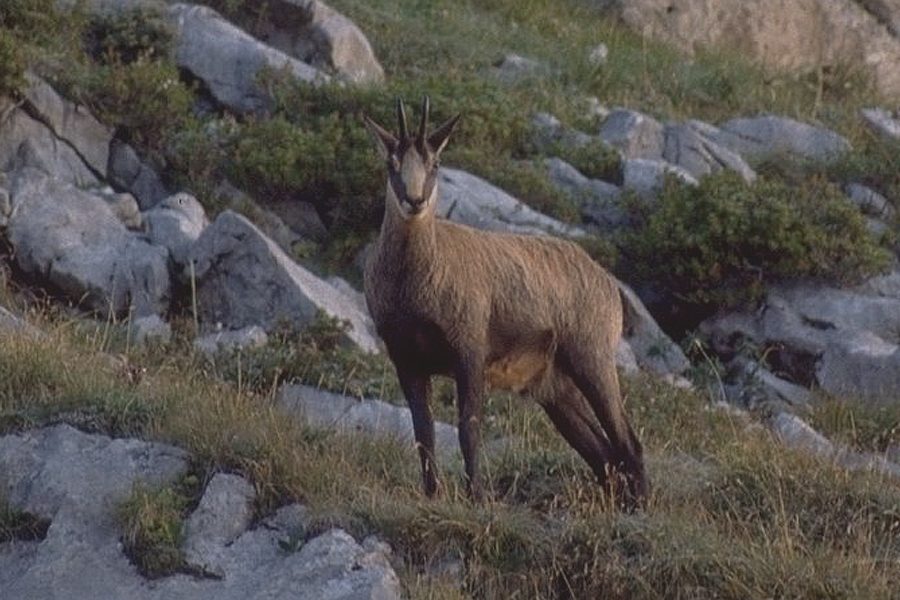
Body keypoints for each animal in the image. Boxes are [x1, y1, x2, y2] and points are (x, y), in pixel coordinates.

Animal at [362, 97, 648, 508]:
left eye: (435, 163)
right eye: (392, 162)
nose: (414, 201)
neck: (414, 284)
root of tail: (608, 284)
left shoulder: (469, 351)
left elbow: (468, 427)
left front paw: (477, 497)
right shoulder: (407, 360)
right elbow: (423, 432)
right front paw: (433, 495)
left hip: (591, 358)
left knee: (627, 442)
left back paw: (640, 507)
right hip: (553, 386)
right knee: (603, 453)